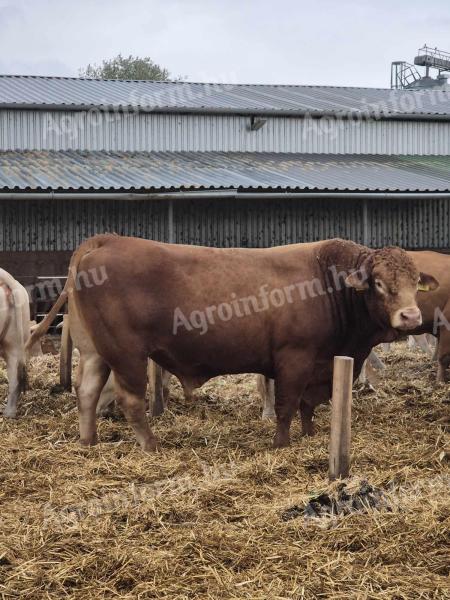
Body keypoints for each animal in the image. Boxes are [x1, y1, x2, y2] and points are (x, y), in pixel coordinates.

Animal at [27, 234, 436, 450]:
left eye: (416, 281)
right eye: (379, 283)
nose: (411, 317)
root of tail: (109, 240)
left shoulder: (322, 364)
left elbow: (308, 405)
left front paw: (310, 434)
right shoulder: (295, 358)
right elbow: (287, 404)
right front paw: (282, 444)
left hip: (95, 351)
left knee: (86, 392)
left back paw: (89, 441)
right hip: (127, 354)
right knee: (129, 400)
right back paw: (151, 445)